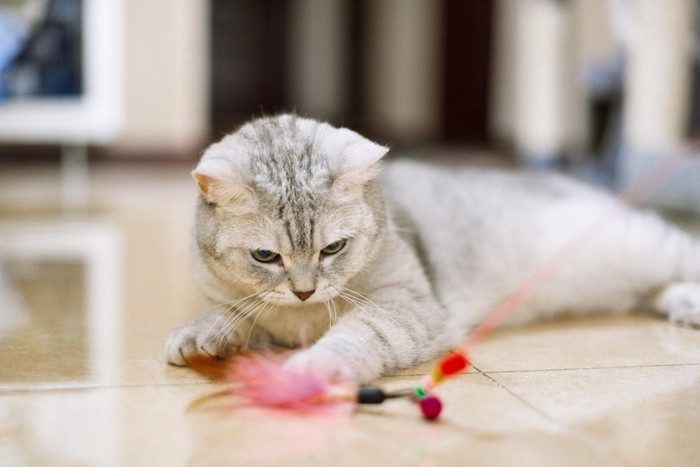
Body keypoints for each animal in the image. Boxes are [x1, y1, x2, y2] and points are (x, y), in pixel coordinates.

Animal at [165, 113, 700, 384]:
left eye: (333, 248)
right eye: (265, 257)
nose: (304, 292)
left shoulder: (409, 305)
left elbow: (356, 334)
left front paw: (318, 364)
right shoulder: (229, 297)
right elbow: (228, 316)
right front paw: (202, 335)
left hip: (649, 248)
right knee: (651, 292)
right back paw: (683, 306)